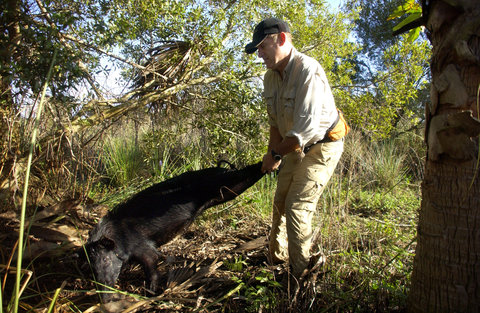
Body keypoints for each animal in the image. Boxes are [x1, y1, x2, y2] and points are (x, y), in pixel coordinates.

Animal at [84, 162, 264, 296]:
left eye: (106, 260)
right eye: (92, 267)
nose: (104, 295)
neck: (118, 235)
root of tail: (222, 168)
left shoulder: (144, 248)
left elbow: (152, 265)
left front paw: (149, 294)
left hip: (224, 183)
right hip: (224, 193)